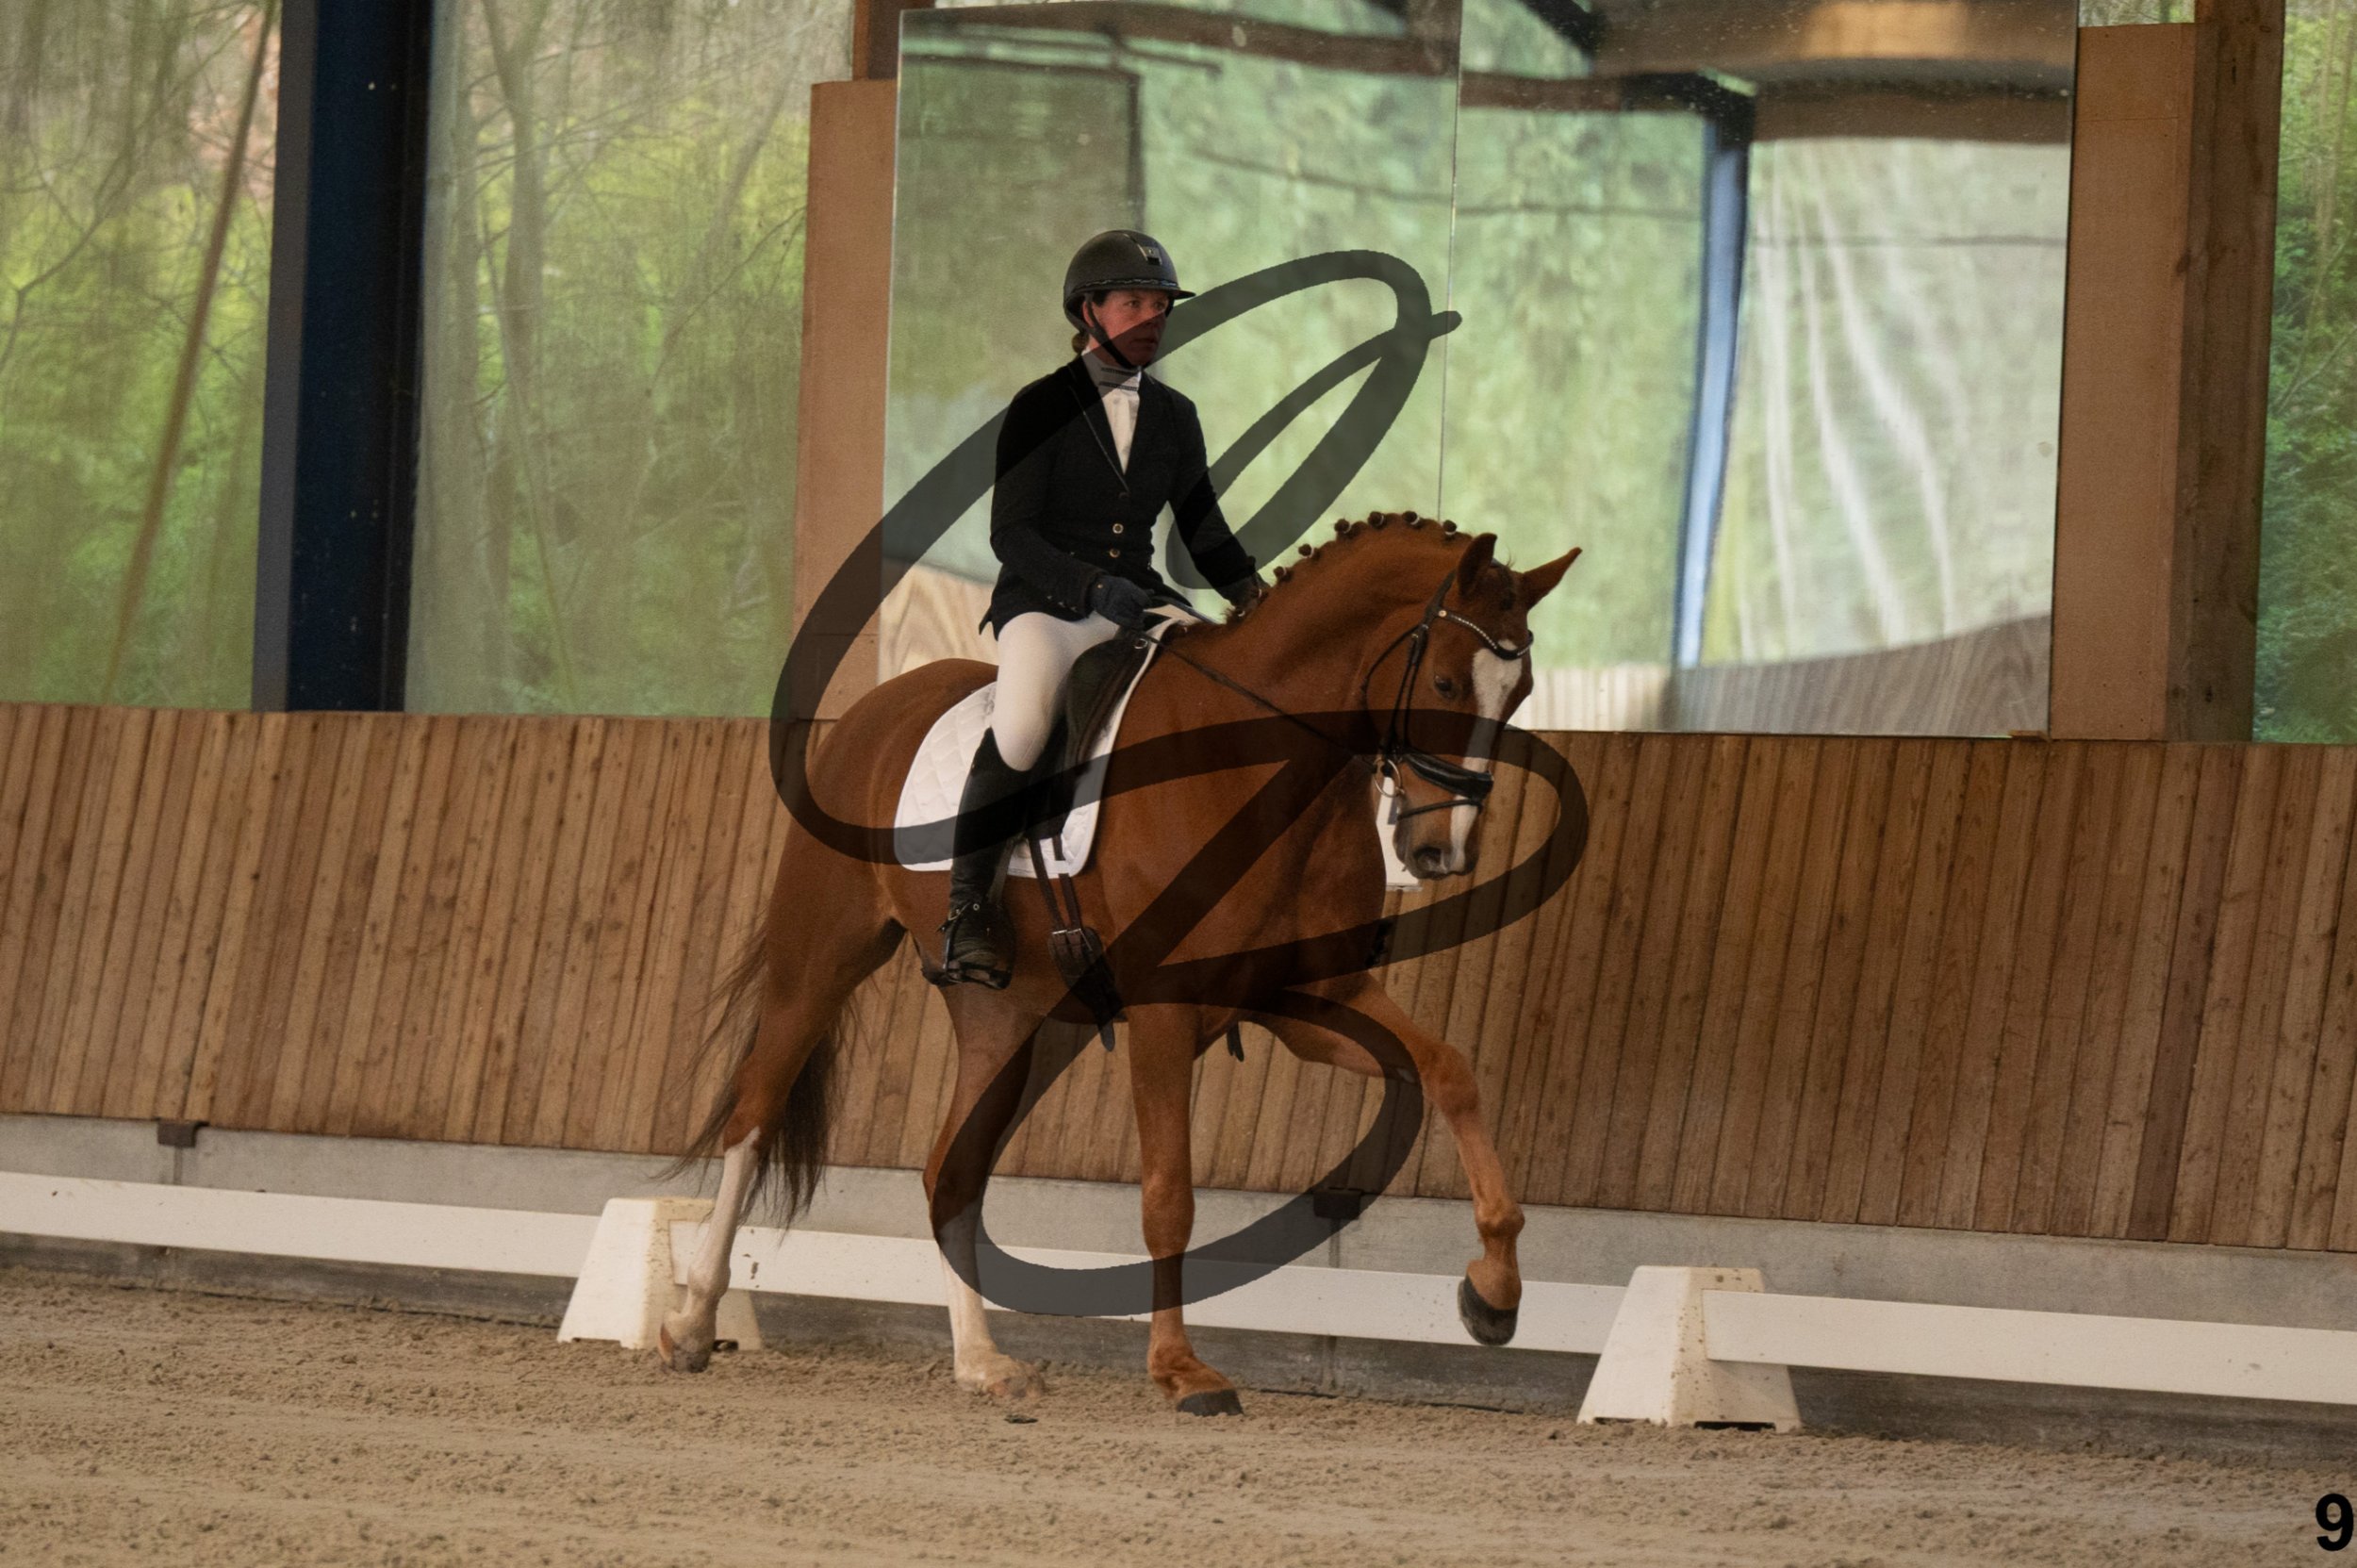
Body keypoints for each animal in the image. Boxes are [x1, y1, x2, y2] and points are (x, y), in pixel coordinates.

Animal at [662, 511, 1579, 1414]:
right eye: (1448, 685)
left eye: (1521, 692)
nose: (1440, 852)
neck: (1265, 767)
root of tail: (874, 709)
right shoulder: (1168, 1010)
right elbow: (1169, 1192)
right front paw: (1180, 1369)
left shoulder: (1307, 996)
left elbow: (1447, 1070)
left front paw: (1494, 1291)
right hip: (820, 956)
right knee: (755, 1115)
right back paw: (692, 1320)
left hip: (1013, 1020)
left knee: (950, 1171)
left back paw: (982, 1362)